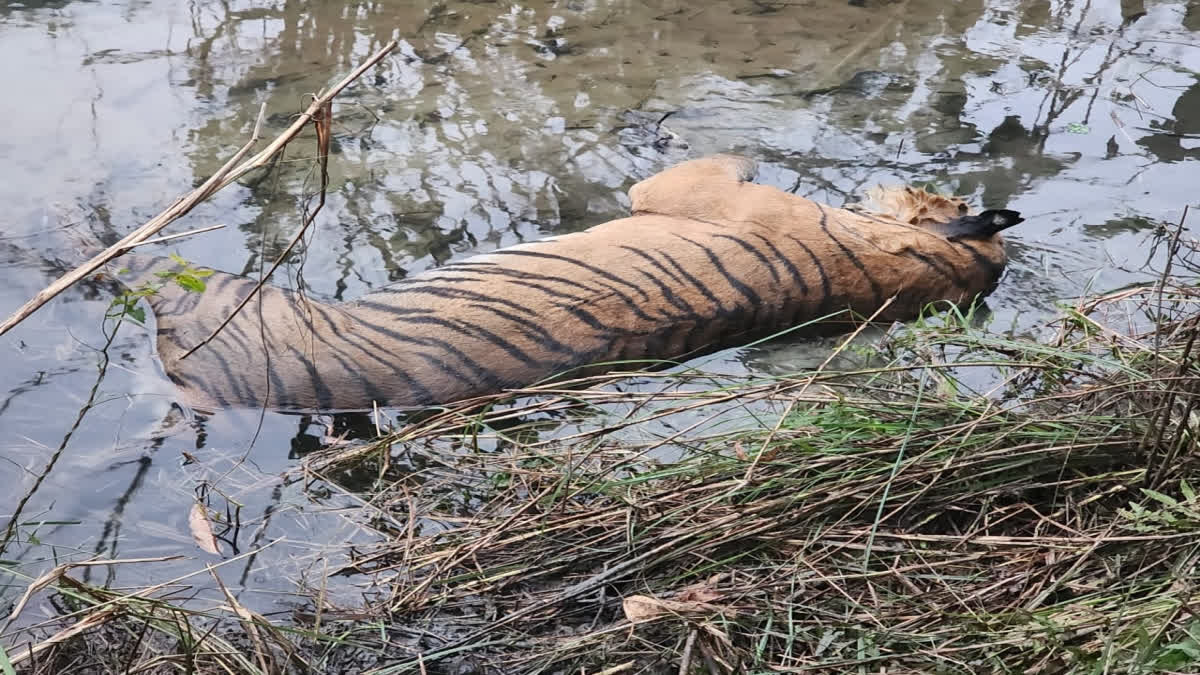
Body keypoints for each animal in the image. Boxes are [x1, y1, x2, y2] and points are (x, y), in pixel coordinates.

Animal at [112, 154, 1022, 413]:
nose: (908, 183)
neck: (884, 272)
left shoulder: (685, 187)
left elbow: (715, 160)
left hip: (210, 286)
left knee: (140, 260)